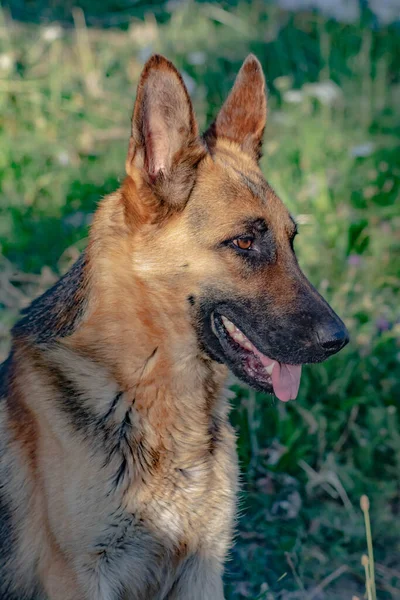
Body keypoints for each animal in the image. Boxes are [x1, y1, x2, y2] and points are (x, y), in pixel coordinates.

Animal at [0, 54, 346, 596]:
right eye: (244, 242)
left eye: (292, 240)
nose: (340, 341)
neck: (148, 386)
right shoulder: (80, 578)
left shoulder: (203, 567)